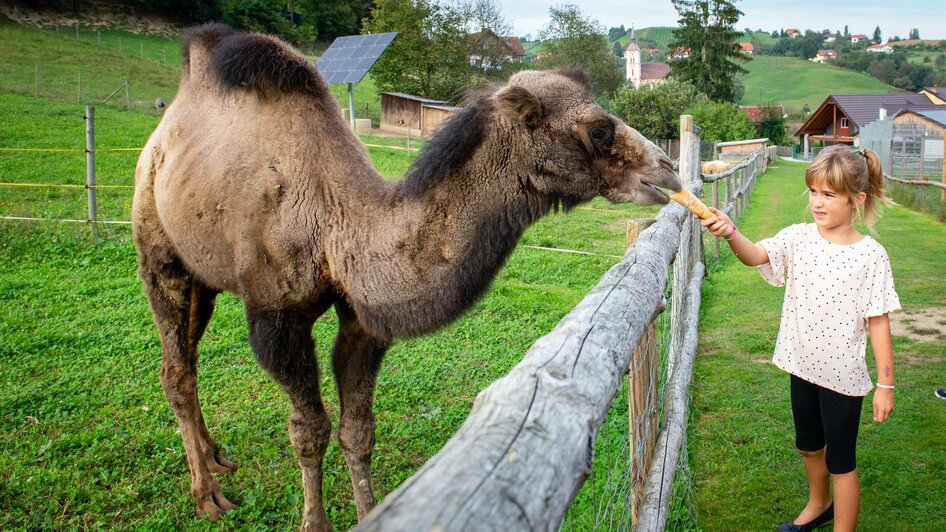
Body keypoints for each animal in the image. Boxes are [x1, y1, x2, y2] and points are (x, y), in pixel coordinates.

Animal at [131, 22, 680, 528]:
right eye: (598, 131)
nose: (668, 168)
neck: (336, 223)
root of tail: (165, 126)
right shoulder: (277, 317)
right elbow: (309, 433)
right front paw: (315, 522)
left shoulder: (362, 321)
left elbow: (357, 432)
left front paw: (367, 511)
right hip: (157, 245)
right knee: (176, 368)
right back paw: (206, 493)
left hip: (203, 273)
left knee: (189, 353)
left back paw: (216, 457)